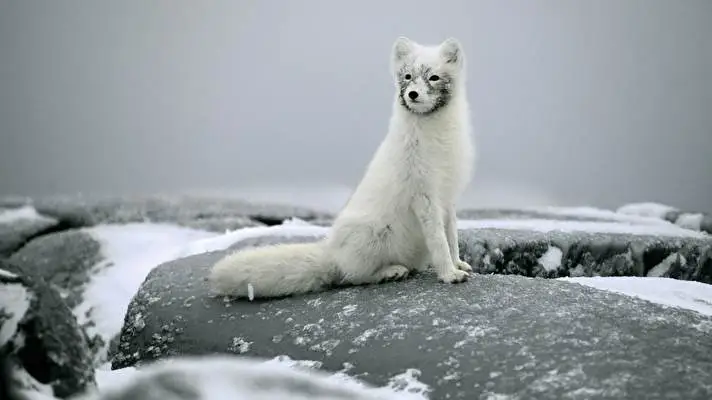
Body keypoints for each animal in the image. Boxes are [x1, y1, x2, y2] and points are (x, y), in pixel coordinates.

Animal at [209, 36, 476, 299]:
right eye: (408, 76)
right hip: (372, 235)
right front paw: (449, 274)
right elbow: (439, 241)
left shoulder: (448, 197)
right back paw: (390, 271)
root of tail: (331, 252)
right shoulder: (424, 196)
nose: (412, 94)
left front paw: (458, 264)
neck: (437, 138)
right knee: (353, 276)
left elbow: (451, 236)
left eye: (434, 77)